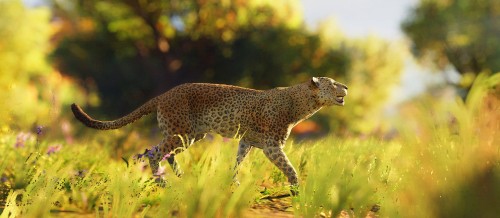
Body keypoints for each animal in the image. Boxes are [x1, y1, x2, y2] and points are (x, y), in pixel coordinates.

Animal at [72, 77, 348, 194]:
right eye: (333, 82)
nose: (346, 87)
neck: (303, 103)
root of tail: (165, 93)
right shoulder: (272, 146)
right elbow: (290, 168)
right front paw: (297, 190)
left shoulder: (248, 141)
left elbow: (237, 162)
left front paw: (233, 183)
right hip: (180, 133)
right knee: (154, 152)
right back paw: (162, 183)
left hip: (191, 136)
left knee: (164, 153)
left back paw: (179, 177)